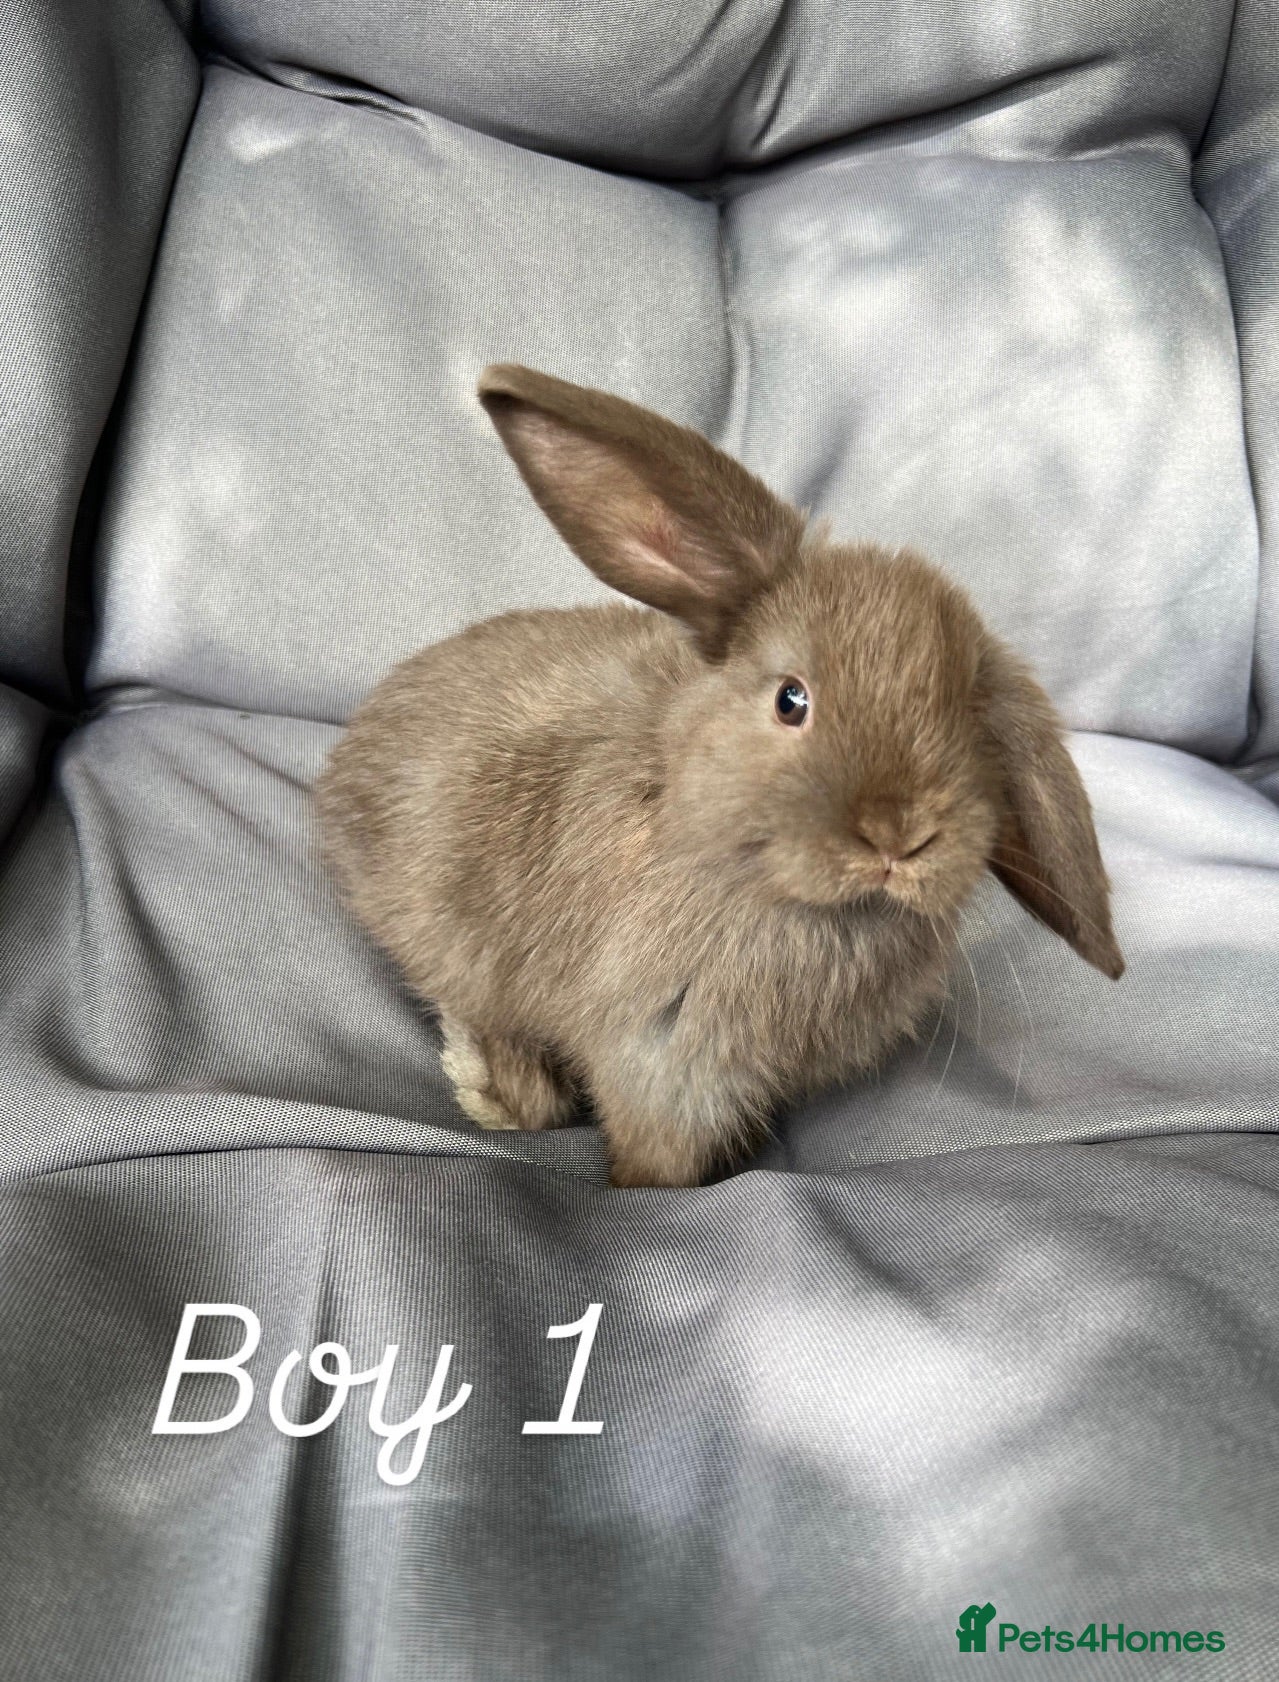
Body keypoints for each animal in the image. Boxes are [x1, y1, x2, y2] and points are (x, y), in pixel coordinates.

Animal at [317, 364, 1124, 1188]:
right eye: (790, 700)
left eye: (970, 724)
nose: (899, 835)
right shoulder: (664, 1056)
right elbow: (659, 1152)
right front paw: (657, 1188)